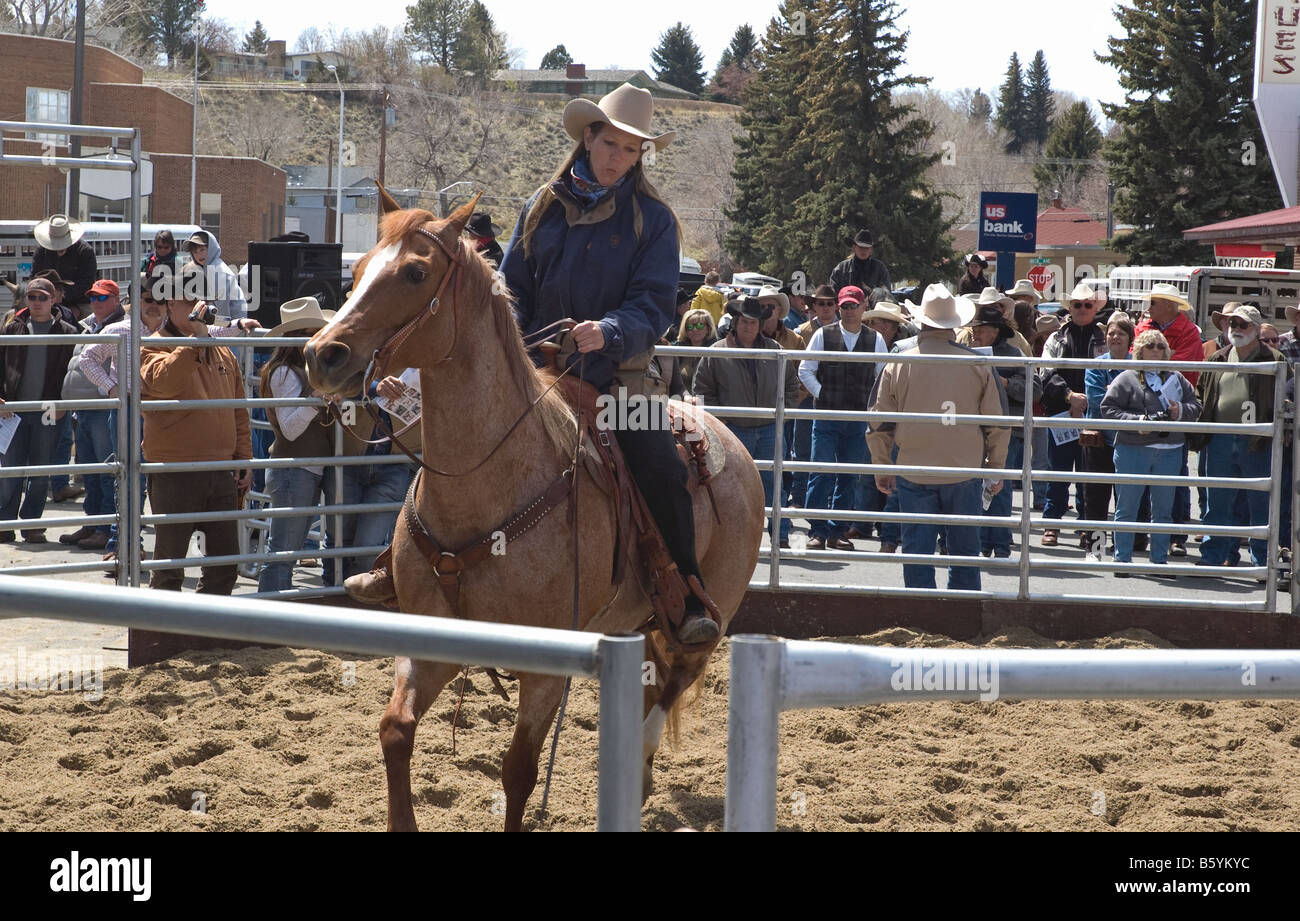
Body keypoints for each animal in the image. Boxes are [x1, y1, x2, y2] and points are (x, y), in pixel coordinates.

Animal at [304, 189, 766, 831]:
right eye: (361, 266)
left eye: (416, 272)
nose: (322, 355)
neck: (484, 490)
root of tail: (734, 445)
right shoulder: (428, 641)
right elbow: (395, 731)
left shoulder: (546, 669)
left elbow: (519, 771)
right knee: (652, 680)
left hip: (708, 612)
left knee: (676, 678)